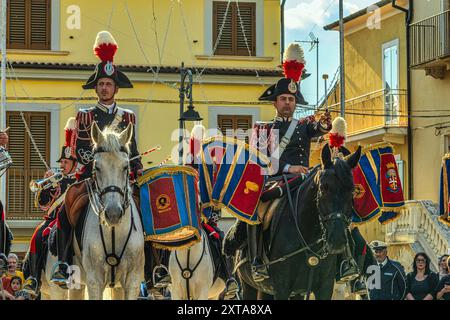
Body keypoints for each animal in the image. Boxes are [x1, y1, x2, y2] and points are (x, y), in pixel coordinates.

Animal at [72, 122, 145, 300]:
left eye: (126, 167)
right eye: (97, 167)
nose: (113, 214)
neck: (114, 232)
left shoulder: (133, 281)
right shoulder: (94, 281)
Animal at [225, 145, 362, 300]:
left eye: (352, 190)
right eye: (323, 187)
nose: (337, 241)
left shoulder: (324, 287)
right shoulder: (281, 288)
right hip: (249, 286)